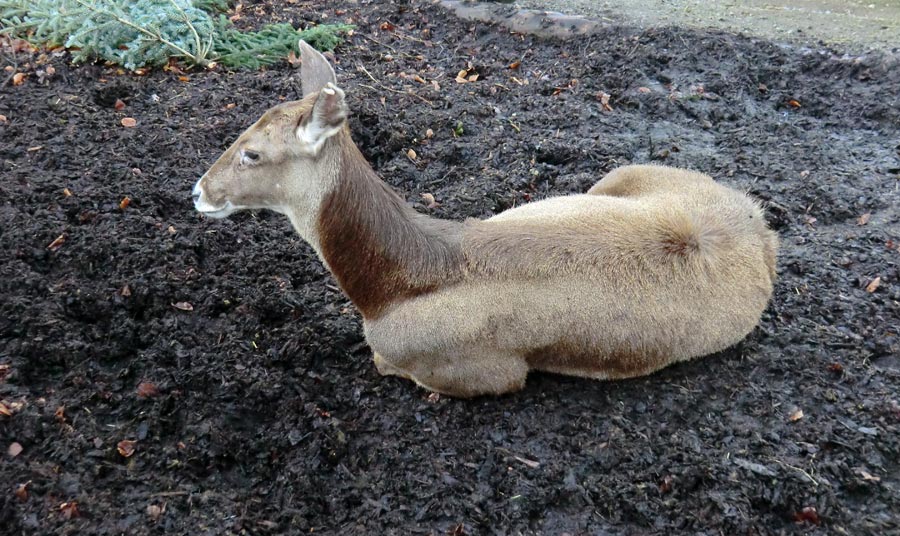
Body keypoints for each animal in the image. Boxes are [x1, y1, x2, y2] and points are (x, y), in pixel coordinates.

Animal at [192, 40, 780, 398]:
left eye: (252, 153)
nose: (198, 191)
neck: (387, 286)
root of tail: (762, 224)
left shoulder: (483, 370)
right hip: (617, 176)